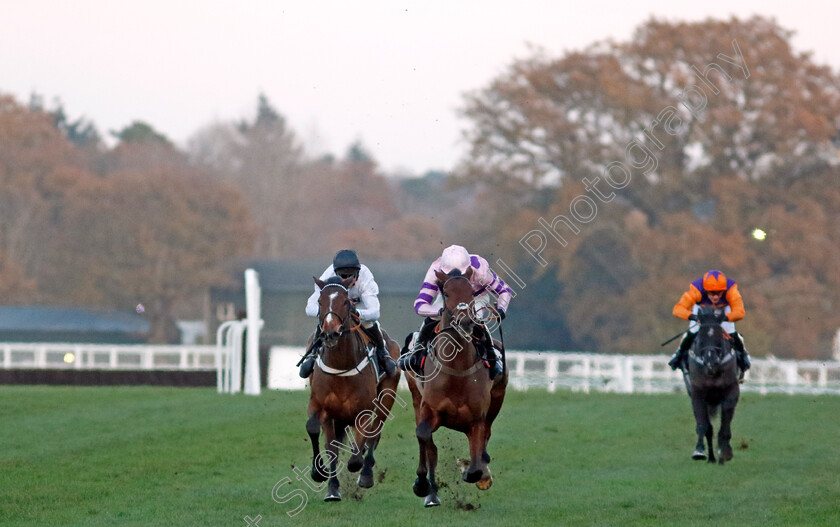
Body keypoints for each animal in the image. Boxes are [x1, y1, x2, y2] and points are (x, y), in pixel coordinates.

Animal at [306, 276, 402, 504]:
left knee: (374, 434)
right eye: (320, 301)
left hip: (387, 396)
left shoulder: (363, 411)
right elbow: (321, 438)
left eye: (346, 302)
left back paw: (366, 474)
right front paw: (324, 478)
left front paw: (359, 468)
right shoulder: (320, 406)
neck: (341, 365)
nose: (330, 333)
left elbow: (358, 452)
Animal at [406, 270, 508, 510]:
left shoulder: (476, 419)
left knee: (486, 437)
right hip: (415, 396)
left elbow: (477, 460)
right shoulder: (429, 410)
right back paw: (431, 494)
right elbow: (424, 436)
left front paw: (475, 472)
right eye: (445, 292)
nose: (466, 320)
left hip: (497, 399)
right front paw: (422, 485)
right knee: (428, 445)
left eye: (471, 291)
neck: (457, 369)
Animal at [684, 306, 740, 466]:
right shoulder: (697, 393)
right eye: (699, 339)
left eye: (719, 337)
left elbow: (726, 422)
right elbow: (704, 425)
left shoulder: (732, 391)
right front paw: (699, 451)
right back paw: (711, 457)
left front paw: (725, 451)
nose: (710, 362)